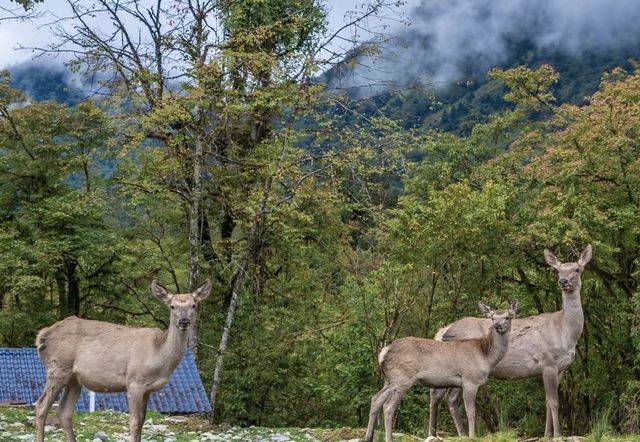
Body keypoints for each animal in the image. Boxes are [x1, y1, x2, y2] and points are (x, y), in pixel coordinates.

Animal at [34, 280, 212, 442]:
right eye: (172, 306)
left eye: (194, 305)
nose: (184, 322)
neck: (158, 354)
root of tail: (42, 336)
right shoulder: (134, 381)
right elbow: (134, 422)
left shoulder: (148, 389)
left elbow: (142, 423)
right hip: (58, 367)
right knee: (41, 406)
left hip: (74, 379)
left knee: (63, 411)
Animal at [362, 302, 516, 440]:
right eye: (492, 317)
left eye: (507, 317)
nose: (497, 326)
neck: (486, 356)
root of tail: (383, 353)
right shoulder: (470, 379)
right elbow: (471, 411)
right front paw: (473, 435)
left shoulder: (461, 383)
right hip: (402, 378)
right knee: (388, 406)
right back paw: (388, 438)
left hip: (389, 379)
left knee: (375, 398)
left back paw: (369, 437)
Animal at [428, 245, 592, 438]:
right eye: (558, 270)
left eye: (577, 269)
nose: (563, 281)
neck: (564, 332)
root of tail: (442, 331)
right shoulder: (548, 362)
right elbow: (554, 402)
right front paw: (557, 435)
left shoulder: (560, 369)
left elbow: (547, 402)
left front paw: (546, 434)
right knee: (444, 397)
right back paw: (445, 433)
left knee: (442, 396)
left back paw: (452, 433)